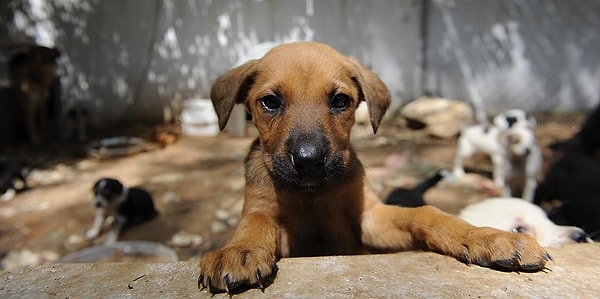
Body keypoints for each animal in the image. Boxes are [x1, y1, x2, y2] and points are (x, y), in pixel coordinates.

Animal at [199, 42, 552, 296]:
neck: (312, 195)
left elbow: (426, 213)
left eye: (340, 100)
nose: (309, 161)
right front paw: (241, 250)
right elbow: (257, 221)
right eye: (270, 102)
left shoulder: (369, 219)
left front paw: (488, 237)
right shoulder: (270, 215)